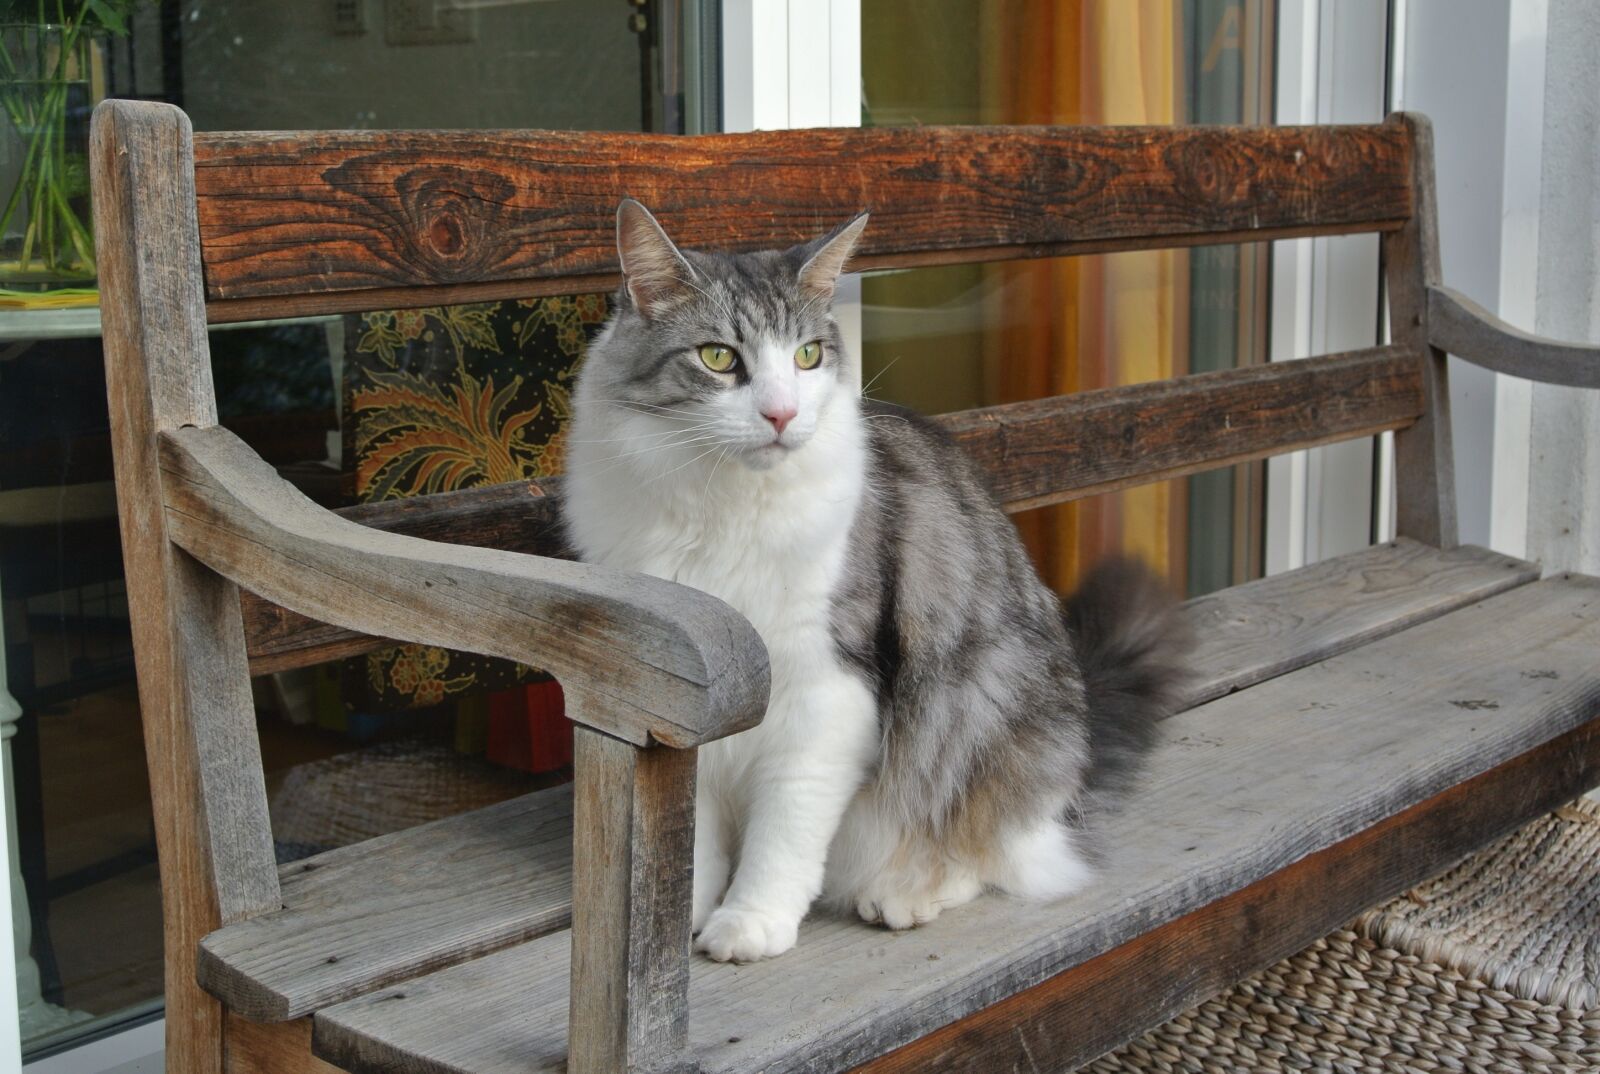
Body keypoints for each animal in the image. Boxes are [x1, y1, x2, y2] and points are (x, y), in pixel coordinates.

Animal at [563, 201, 1190, 966]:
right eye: (718, 358)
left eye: (807, 357)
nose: (781, 414)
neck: (723, 508)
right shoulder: (693, 693)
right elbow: (696, 832)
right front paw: (687, 911)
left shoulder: (826, 691)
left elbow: (784, 831)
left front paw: (749, 923)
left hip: (978, 710)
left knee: (993, 852)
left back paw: (904, 893)